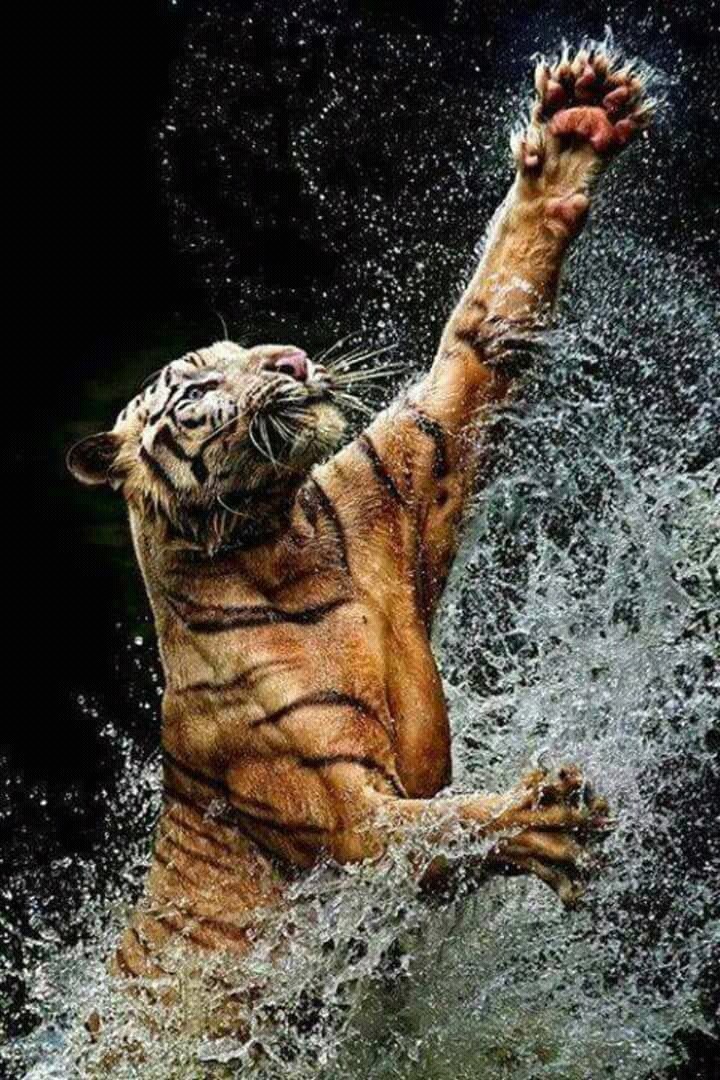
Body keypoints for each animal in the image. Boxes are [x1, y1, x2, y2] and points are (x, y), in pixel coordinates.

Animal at [68, 42, 651, 1044]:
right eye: (198, 387)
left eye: (248, 351)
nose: (292, 360)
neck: (281, 539)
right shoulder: (344, 815)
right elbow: (436, 829)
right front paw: (541, 821)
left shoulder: (412, 461)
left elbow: (483, 325)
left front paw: (575, 127)